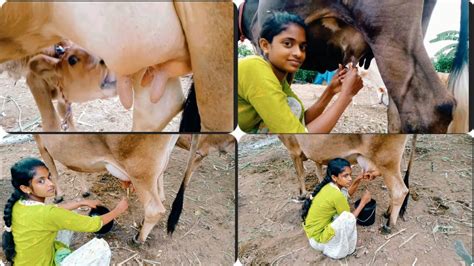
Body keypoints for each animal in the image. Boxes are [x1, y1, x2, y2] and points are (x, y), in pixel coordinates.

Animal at [280, 135, 416, 233]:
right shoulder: (316, 156)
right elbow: (319, 172)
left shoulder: (293, 150)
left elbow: (300, 174)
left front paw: (302, 194)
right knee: (393, 190)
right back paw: (387, 213)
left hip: (387, 162)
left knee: (400, 190)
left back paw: (388, 225)